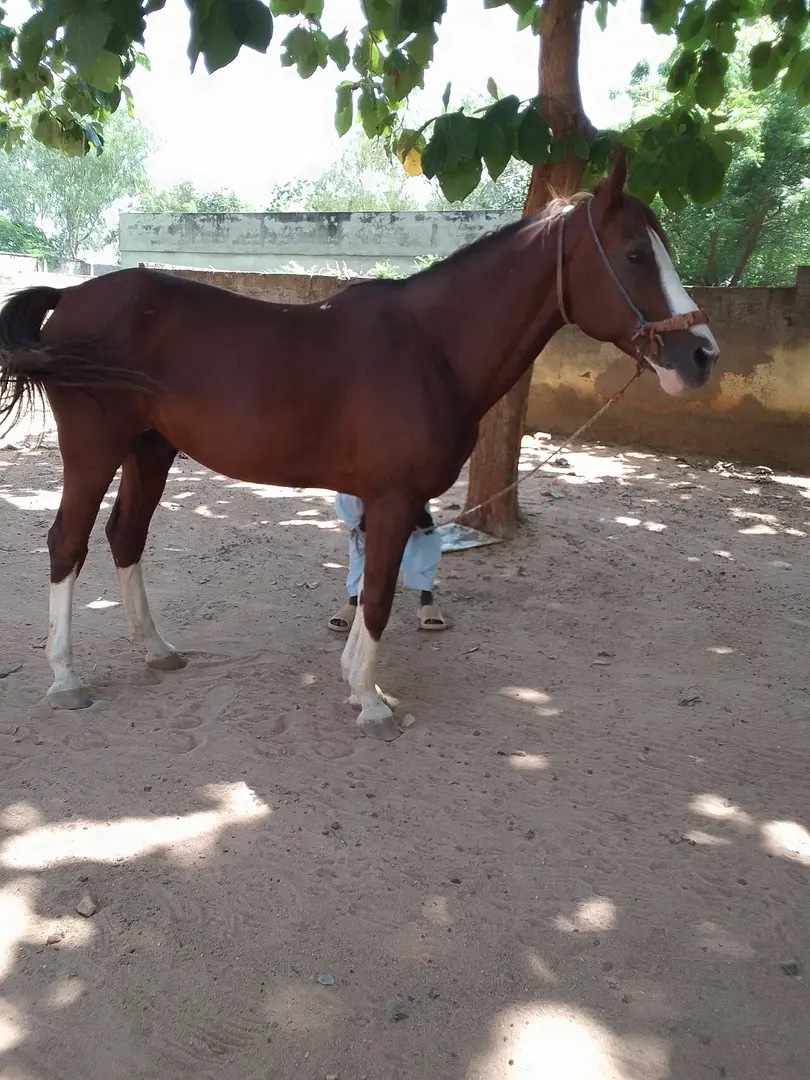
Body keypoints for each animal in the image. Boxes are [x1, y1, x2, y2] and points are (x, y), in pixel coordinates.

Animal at [0, 149, 719, 741]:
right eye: (634, 254)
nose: (702, 355)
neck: (430, 346)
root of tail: (71, 294)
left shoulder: (385, 502)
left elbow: (377, 590)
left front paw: (357, 684)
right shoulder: (393, 499)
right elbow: (375, 595)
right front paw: (371, 702)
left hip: (150, 450)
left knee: (126, 537)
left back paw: (156, 649)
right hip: (93, 452)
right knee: (67, 543)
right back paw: (65, 678)